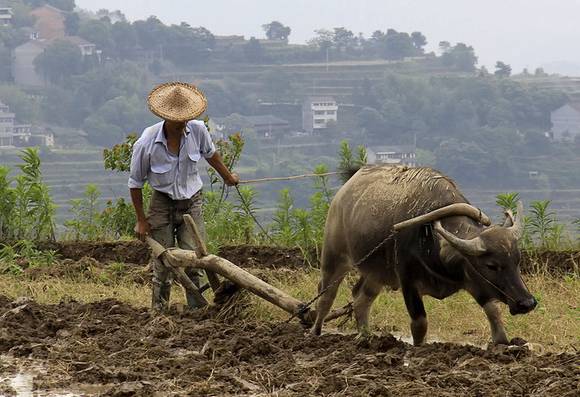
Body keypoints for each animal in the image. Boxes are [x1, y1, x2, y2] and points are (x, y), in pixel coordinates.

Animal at [310, 164, 536, 344]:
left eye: (517, 261)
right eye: (491, 265)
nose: (527, 303)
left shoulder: (473, 281)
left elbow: (493, 311)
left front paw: (502, 342)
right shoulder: (407, 280)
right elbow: (420, 323)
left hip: (377, 273)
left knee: (361, 298)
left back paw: (365, 336)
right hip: (333, 257)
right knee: (325, 296)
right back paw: (315, 332)